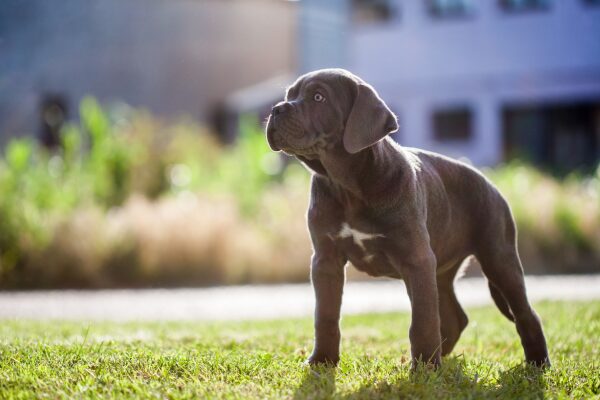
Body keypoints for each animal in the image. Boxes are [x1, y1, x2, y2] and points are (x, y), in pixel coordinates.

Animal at [264, 68, 552, 368]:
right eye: (289, 95)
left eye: (318, 97)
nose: (276, 109)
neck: (347, 185)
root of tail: (492, 184)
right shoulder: (325, 259)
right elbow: (326, 315)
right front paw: (321, 361)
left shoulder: (416, 258)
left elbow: (422, 320)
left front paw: (424, 368)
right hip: (441, 269)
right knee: (454, 317)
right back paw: (440, 358)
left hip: (498, 257)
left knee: (525, 313)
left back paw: (536, 363)